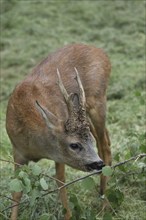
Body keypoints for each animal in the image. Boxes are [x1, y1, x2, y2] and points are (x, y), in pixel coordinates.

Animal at [5, 43, 111, 220]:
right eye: (74, 145)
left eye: (87, 142)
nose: (97, 163)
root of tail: (101, 52)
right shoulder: (17, 151)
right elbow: (16, 191)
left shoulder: (59, 155)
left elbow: (61, 184)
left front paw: (67, 214)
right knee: (106, 138)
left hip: (98, 101)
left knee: (105, 146)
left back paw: (104, 205)